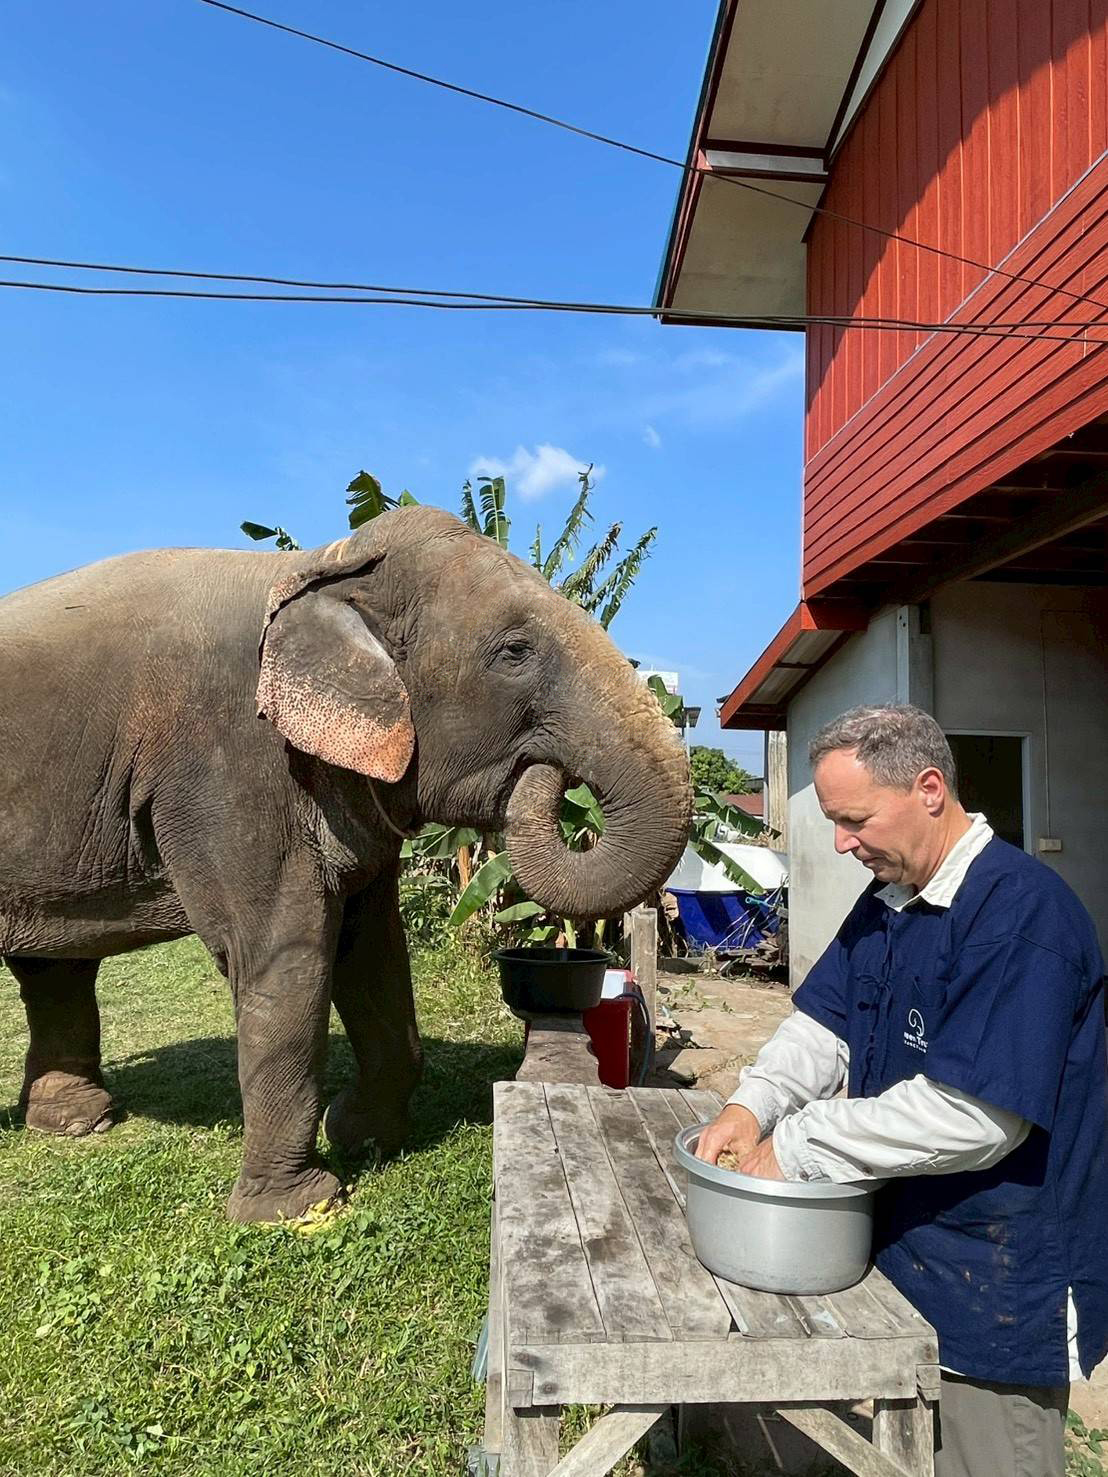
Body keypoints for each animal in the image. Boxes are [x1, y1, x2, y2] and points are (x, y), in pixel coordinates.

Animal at [0, 506, 690, 1222]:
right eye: (515, 652)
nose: (549, 774)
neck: (318, 565)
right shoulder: (229, 767)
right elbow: (286, 956)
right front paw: (296, 1209)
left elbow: (373, 951)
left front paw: (361, 1136)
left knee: (53, 966)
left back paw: (76, 1121)